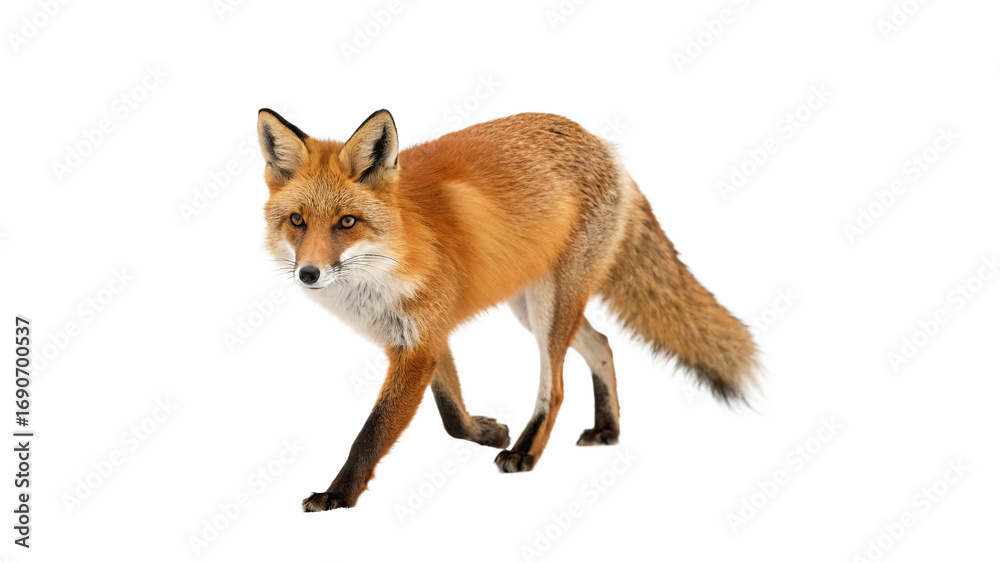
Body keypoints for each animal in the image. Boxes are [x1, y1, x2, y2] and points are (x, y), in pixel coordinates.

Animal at [255, 108, 758, 511]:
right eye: (297, 221)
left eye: (347, 222)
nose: (309, 273)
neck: (393, 257)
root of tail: (602, 145)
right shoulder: (426, 335)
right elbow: (451, 415)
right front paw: (487, 432)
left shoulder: (419, 344)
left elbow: (372, 433)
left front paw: (338, 495)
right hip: (532, 307)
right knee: (603, 344)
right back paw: (606, 429)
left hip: (551, 307)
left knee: (556, 386)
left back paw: (527, 452)